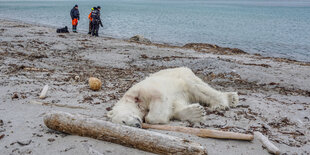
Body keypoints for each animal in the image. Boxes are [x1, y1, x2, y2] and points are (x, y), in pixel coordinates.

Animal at [108, 67, 239, 128]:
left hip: (183, 76)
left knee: (198, 88)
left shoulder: (144, 90)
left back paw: (223, 102)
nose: (137, 125)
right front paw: (196, 112)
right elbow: (174, 108)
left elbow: (158, 101)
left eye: (123, 121)